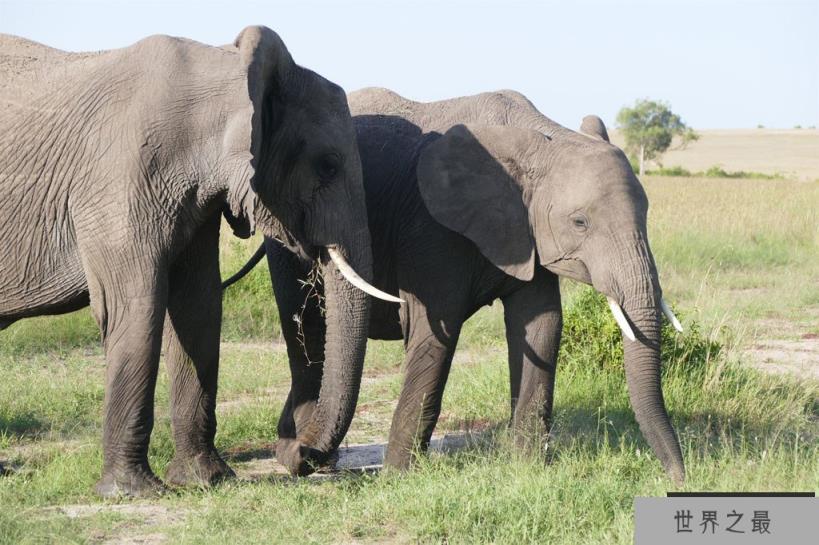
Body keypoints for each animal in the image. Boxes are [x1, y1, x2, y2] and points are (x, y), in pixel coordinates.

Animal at [0, 27, 398, 496]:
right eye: (329, 165)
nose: (300, 455)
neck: (227, 69)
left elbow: (198, 306)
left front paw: (207, 479)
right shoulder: (118, 181)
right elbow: (136, 307)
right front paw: (133, 492)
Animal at [223, 87, 684, 482]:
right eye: (580, 222)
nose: (678, 476)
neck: (543, 135)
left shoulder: (527, 232)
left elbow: (543, 324)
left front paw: (527, 468)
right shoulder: (432, 227)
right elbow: (434, 332)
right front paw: (398, 477)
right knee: (303, 325)